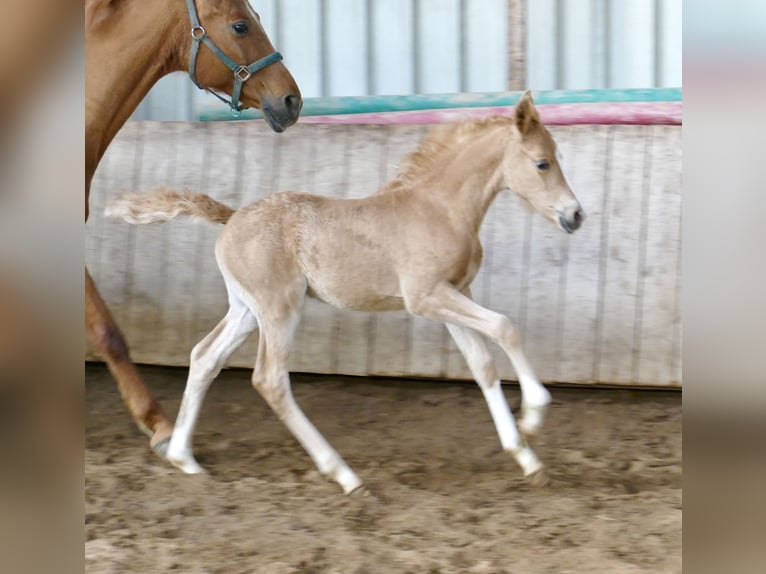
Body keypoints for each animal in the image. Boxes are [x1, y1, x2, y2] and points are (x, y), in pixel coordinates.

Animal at [106, 91, 585, 493]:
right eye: (542, 163)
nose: (576, 215)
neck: (439, 208)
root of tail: (232, 216)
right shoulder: (426, 297)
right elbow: (505, 327)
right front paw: (534, 414)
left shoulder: (453, 293)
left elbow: (482, 365)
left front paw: (526, 458)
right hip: (279, 309)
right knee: (270, 379)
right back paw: (344, 475)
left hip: (246, 309)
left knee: (205, 357)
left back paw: (183, 457)